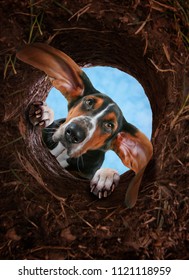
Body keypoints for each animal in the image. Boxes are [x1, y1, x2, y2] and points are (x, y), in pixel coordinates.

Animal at [15, 42, 153, 207]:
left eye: (109, 126)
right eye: (89, 102)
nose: (74, 133)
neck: (61, 152)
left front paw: (105, 177)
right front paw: (44, 113)